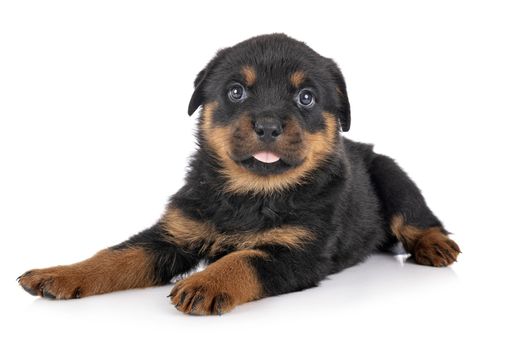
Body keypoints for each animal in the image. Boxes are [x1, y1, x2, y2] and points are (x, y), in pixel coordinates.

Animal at [16, 34, 458, 316]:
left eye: (306, 97)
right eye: (235, 91)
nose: (267, 125)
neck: (251, 192)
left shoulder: (299, 251)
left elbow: (244, 258)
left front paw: (206, 282)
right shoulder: (171, 234)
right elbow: (116, 256)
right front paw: (62, 273)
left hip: (391, 173)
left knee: (416, 217)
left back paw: (436, 245)